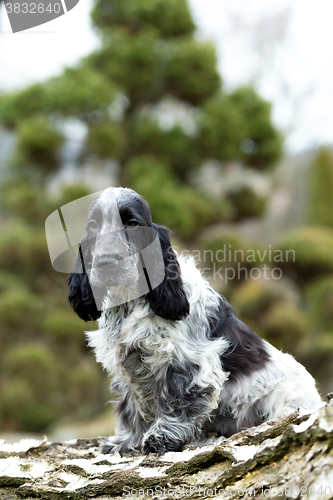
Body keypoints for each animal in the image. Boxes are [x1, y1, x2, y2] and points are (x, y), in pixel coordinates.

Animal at [67, 187, 322, 454]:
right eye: (93, 226)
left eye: (132, 223)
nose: (105, 262)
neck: (133, 300)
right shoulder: (129, 365)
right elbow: (132, 407)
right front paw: (126, 442)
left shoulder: (187, 361)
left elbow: (178, 400)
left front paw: (160, 438)